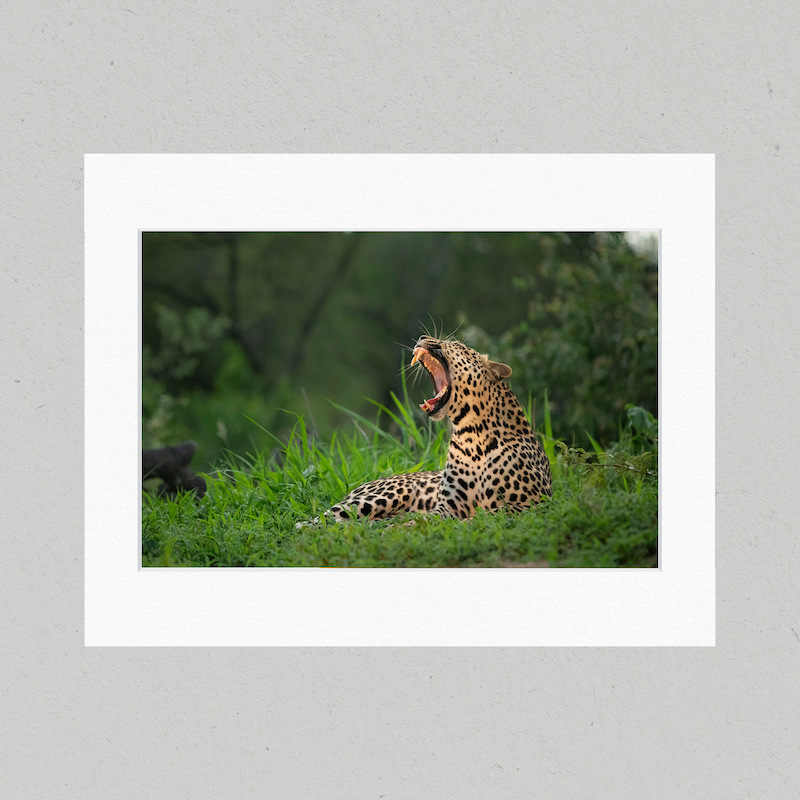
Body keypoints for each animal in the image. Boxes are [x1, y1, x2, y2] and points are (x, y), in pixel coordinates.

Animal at [299, 335, 552, 526]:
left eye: (457, 344)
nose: (421, 337)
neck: (472, 436)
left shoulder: (534, 502)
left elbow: (493, 513)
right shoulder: (448, 506)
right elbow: (426, 519)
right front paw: (402, 527)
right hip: (384, 495)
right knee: (311, 522)